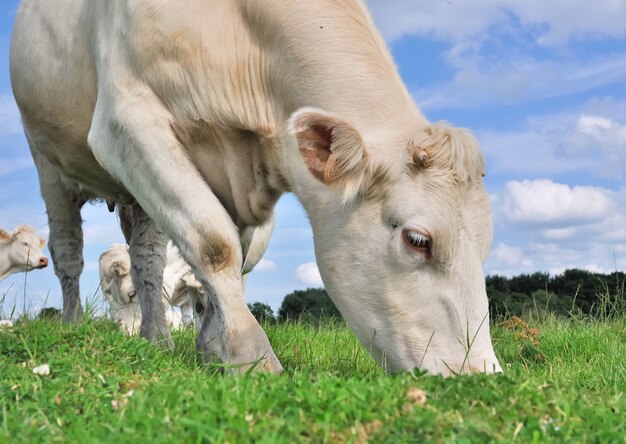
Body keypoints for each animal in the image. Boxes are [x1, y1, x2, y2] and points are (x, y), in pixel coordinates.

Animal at [11, 0, 502, 374]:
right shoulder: (126, 123)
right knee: (68, 254)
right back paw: (73, 324)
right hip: (47, 160)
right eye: (417, 240)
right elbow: (215, 244)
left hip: (138, 199)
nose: (481, 376)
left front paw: (212, 347)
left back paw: (157, 337)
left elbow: (237, 256)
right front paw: (252, 357)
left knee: (147, 260)